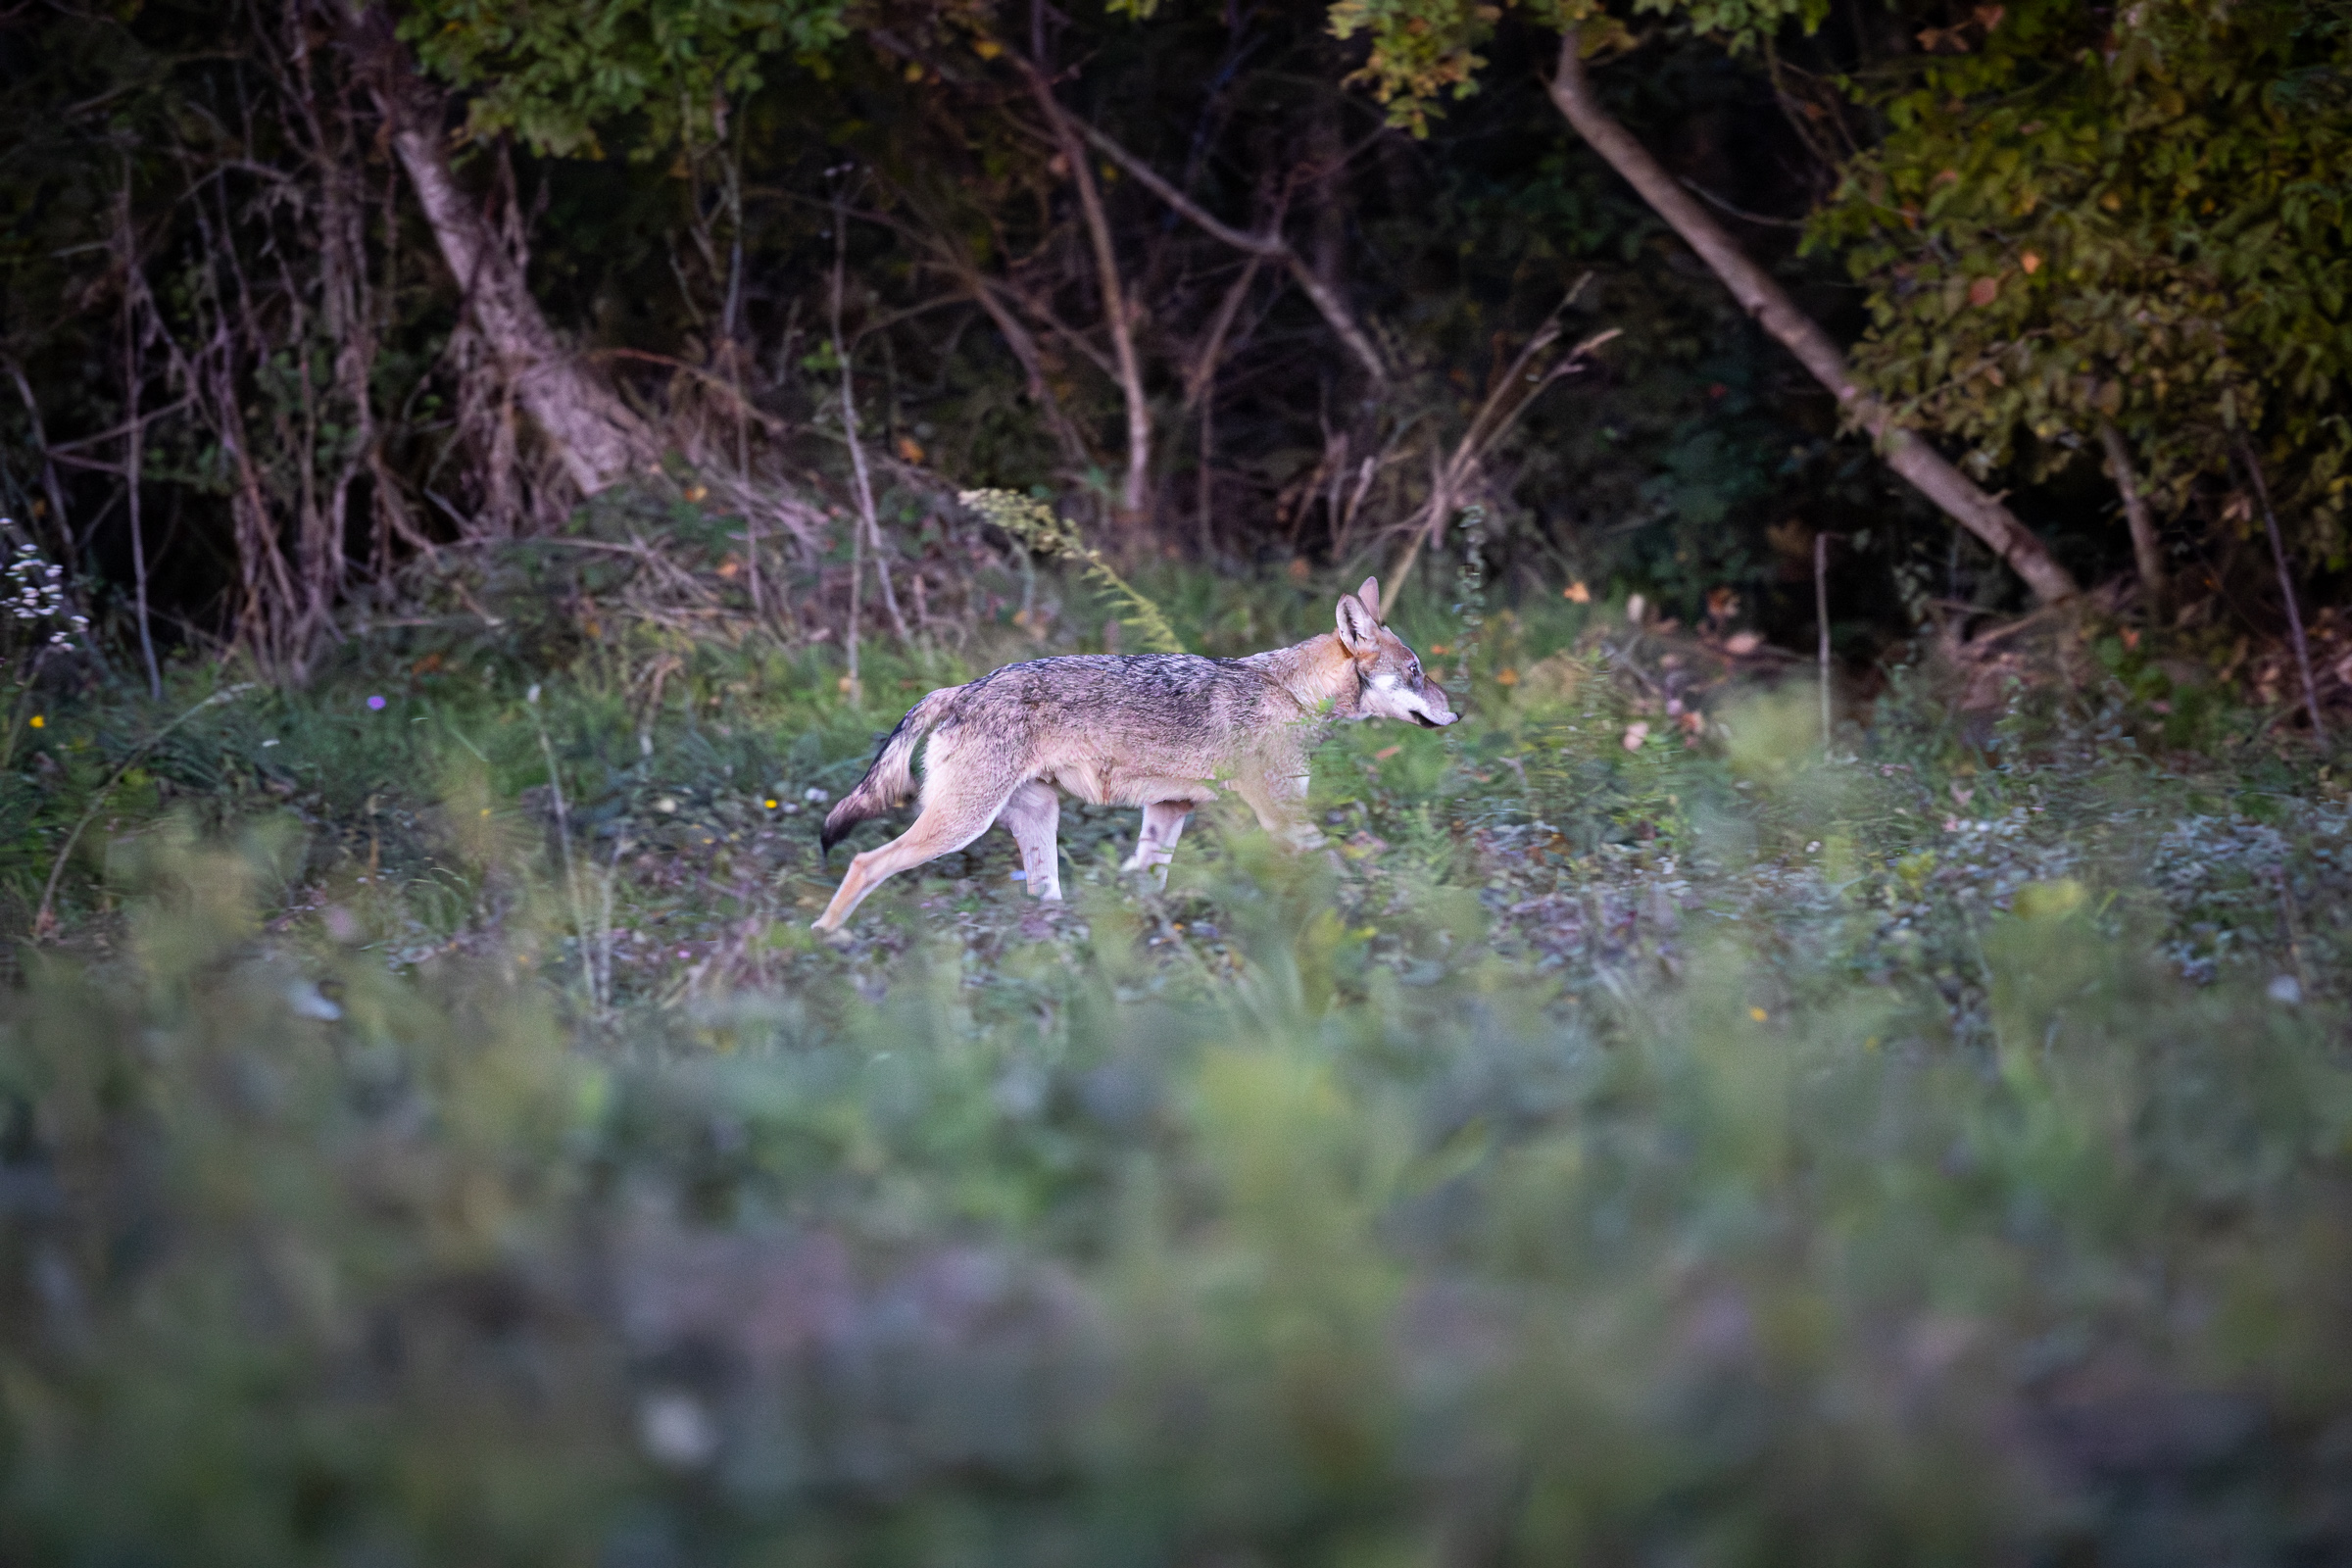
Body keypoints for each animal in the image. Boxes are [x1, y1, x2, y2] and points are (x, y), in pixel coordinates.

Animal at [812, 577, 1455, 932]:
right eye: (1416, 672)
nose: (1457, 713)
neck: (1290, 693)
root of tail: (960, 688)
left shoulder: (1169, 811)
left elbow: (1145, 879)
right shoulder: (1282, 818)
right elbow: (1342, 869)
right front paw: (1383, 909)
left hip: (1035, 822)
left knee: (1043, 900)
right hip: (959, 827)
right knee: (864, 862)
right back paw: (826, 936)